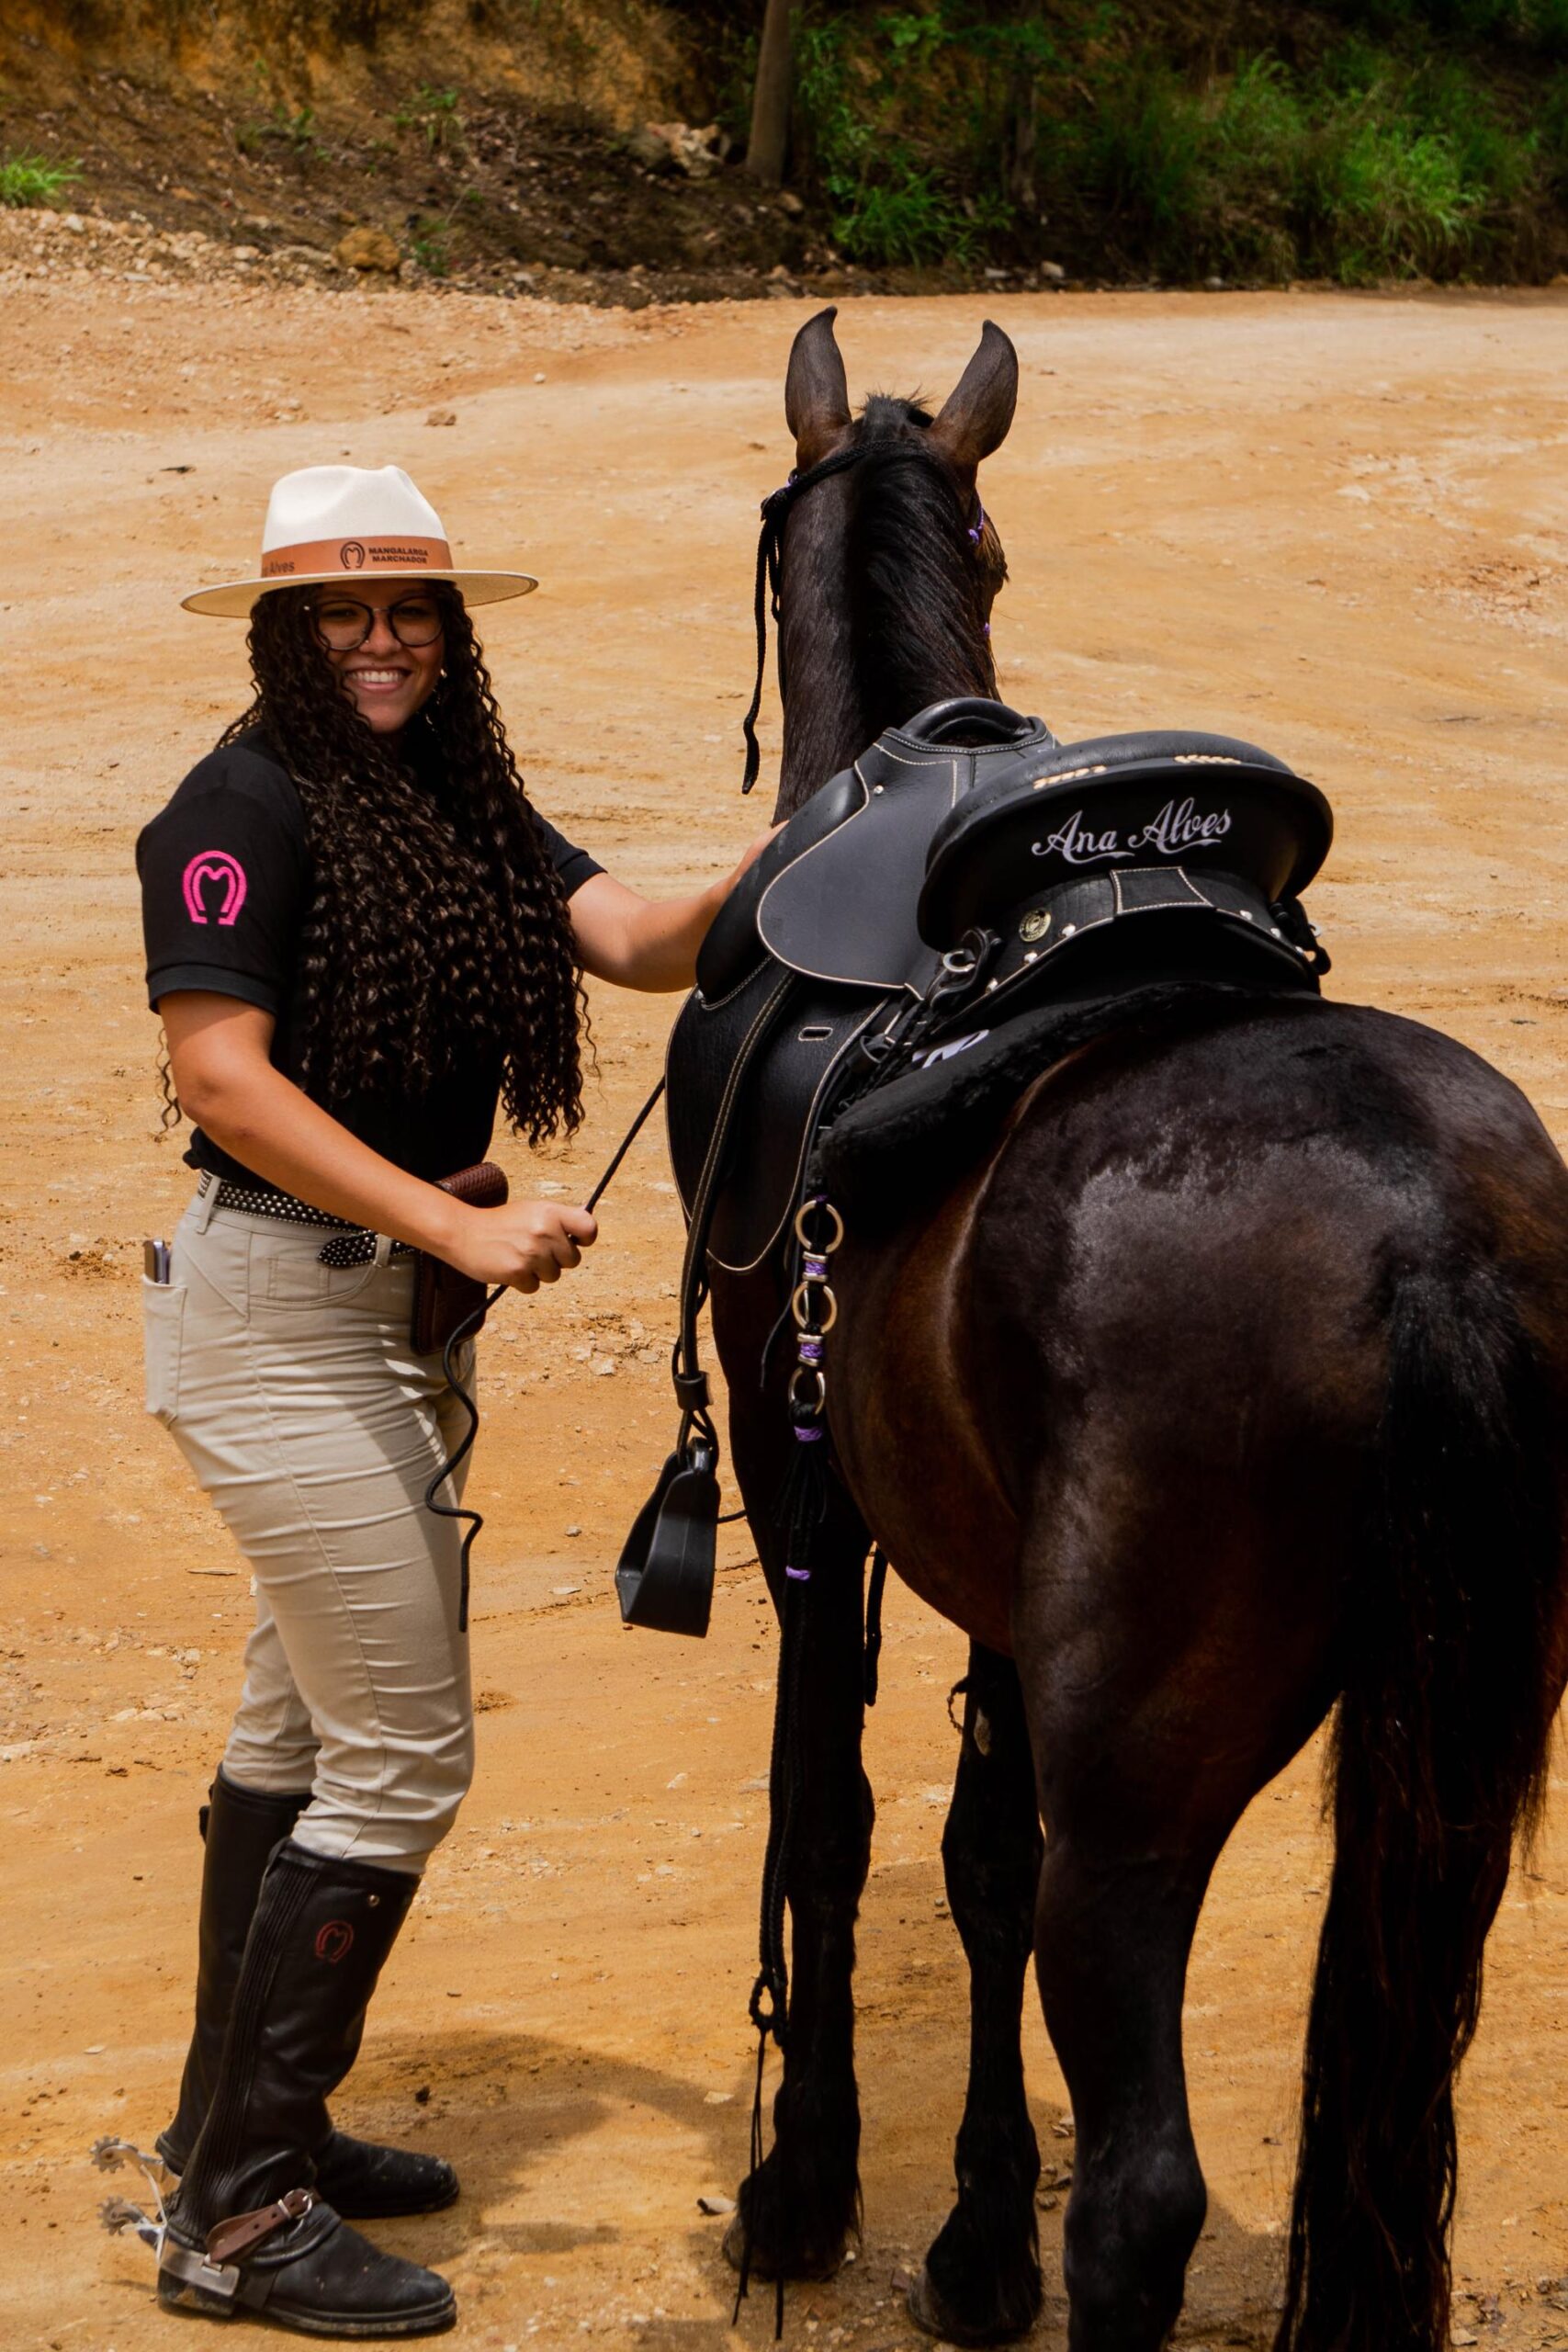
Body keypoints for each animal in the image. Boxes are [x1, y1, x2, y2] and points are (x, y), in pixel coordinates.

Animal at [704, 307, 1568, 2351]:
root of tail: (1424, 1236)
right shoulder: (997, 1577)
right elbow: (971, 1855)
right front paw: (967, 2236)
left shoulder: (800, 1491)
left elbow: (833, 1820)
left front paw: (807, 2189)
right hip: (1451, 1759)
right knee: (1387, 2135)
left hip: (1148, 1778)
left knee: (1145, 2193)